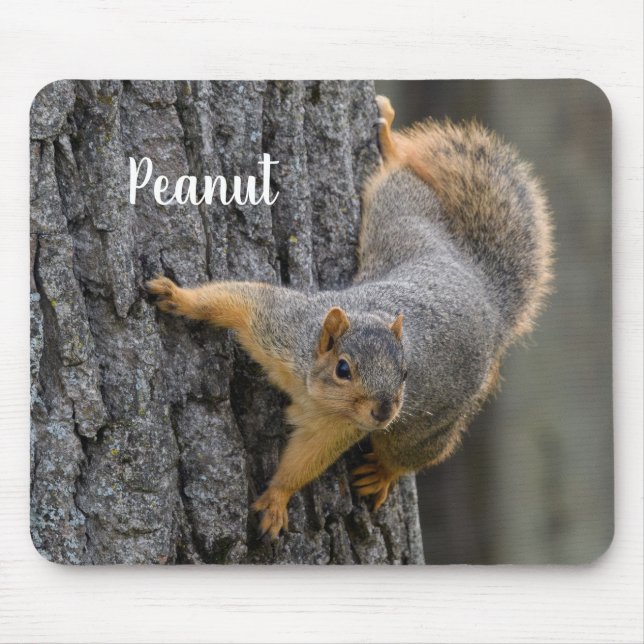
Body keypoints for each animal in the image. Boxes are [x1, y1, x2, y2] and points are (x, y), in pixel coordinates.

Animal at [147, 95, 553, 539]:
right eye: (343, 369)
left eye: (406, 372)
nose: (383, 412)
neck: (313, 389)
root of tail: (486, 293)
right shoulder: (283, 326)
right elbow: (236, 301)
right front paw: (179, 298)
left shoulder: (337, 426)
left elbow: (306, 459)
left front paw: (277, 499)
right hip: (403, 229)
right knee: (401, 185)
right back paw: (390, 141)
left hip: (432, 422)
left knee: (411, 453)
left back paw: (383, 473)